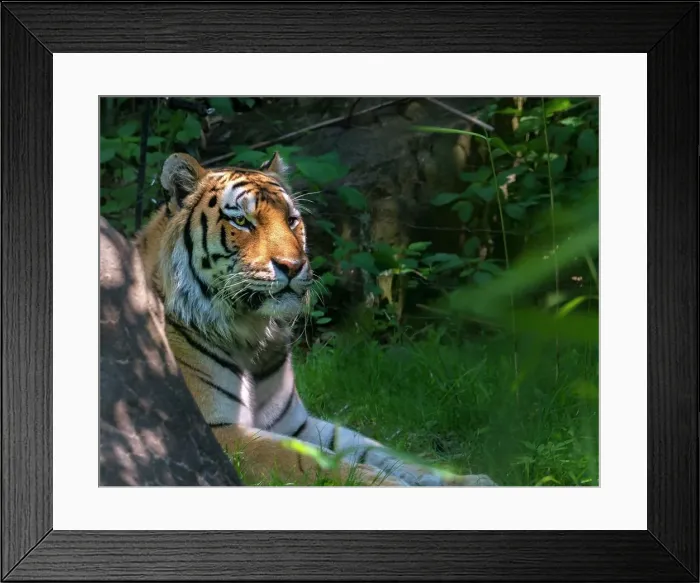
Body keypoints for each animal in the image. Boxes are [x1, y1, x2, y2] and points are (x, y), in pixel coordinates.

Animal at [134, 151, 496, 487]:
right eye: (242, 222)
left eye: (292, 220)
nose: (293, 266)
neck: (255, 337)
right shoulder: (216, 431)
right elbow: (315, 461)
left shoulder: (296, 424)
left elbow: (377, 450)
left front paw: (469, 480)